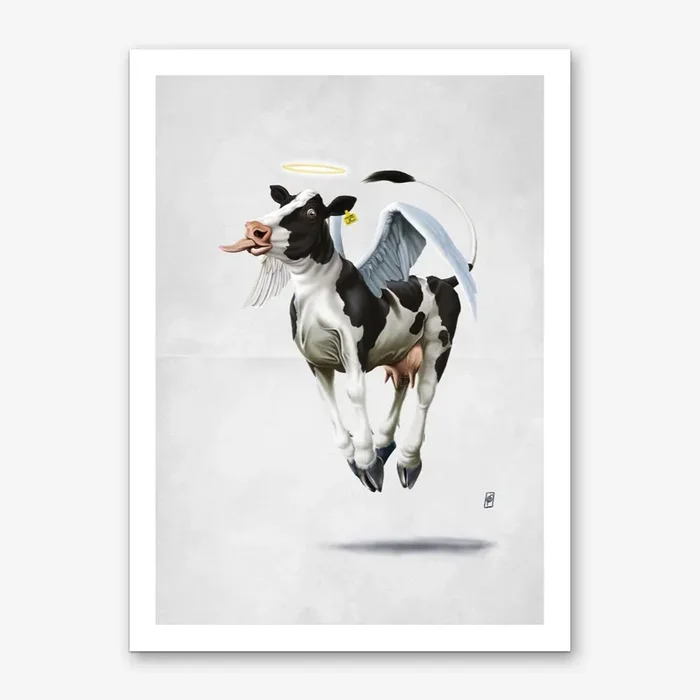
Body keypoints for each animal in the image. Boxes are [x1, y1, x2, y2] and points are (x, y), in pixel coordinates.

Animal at [220, 170, 478, 492]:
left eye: (312, 212)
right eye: (283, 202)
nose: (255, 229)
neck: (315, 294)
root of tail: (440, 279)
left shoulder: (353, 351)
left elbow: (355, 393)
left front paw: (367, 462)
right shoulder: (314, 358)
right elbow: (328, 399)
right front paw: (356, 457)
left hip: (438, 343)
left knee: (426, 393)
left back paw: (408, 461)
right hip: (400, 349)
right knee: (403, 383)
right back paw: (384, 442)